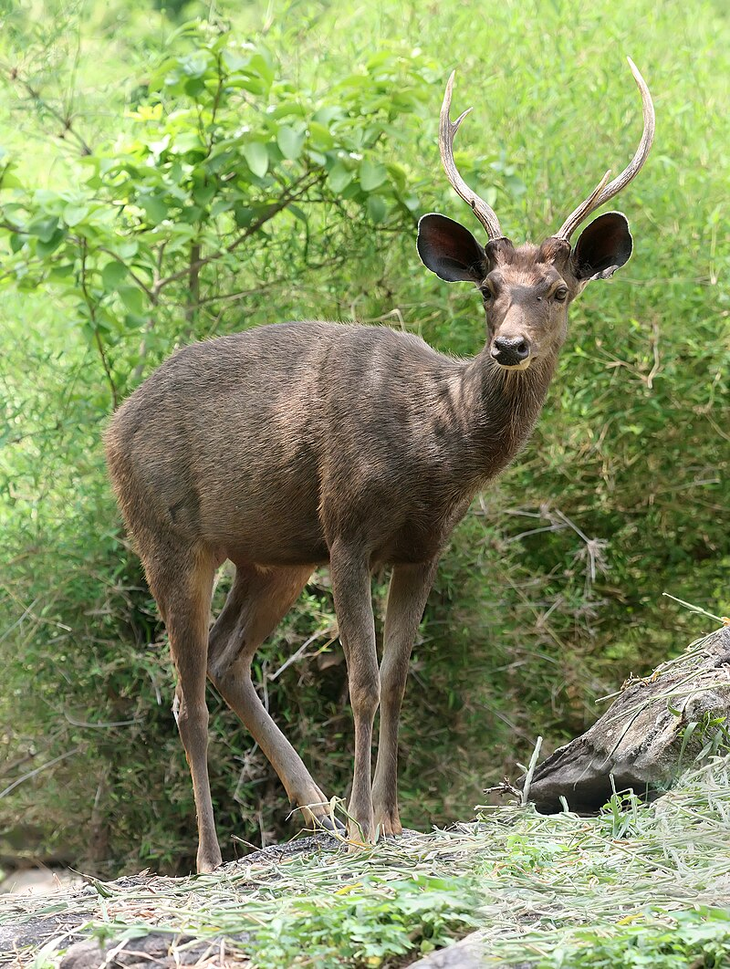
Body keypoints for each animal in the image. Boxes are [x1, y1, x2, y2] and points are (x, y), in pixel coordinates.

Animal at [104, 62, 656, 876]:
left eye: (560, 290)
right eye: (488, 289)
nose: (510, 346)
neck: (437, 447)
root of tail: (111, 427)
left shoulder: (423, 547)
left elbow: (397, 679)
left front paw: (389, 819)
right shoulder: (347, 530)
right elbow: (361, 681)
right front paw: (366, 825)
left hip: (272, 555)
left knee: (226, 659)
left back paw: (315, 806)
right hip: (167, 533)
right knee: (185, 694)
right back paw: (212, 853)